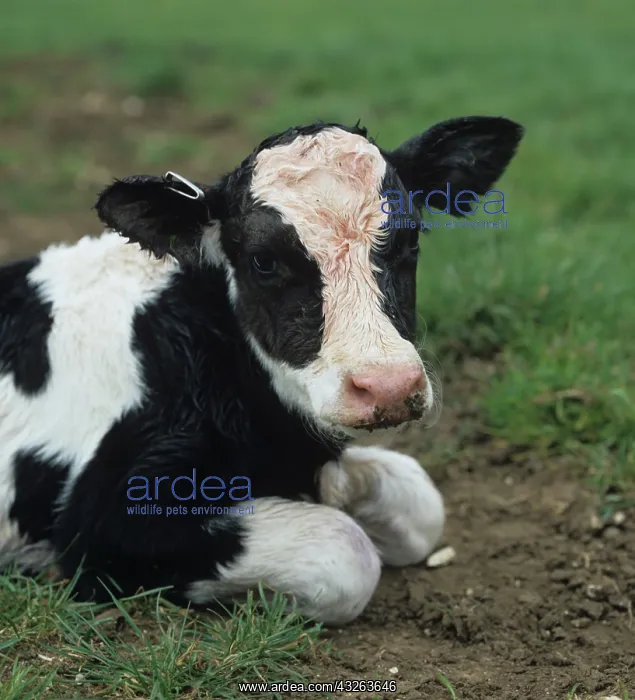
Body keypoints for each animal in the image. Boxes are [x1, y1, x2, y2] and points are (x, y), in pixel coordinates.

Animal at [0, 116, 524, 625]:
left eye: (410, 241)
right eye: (264, 261)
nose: (388, 387)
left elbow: (419, 504)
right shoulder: (105, 520)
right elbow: (344, 552)